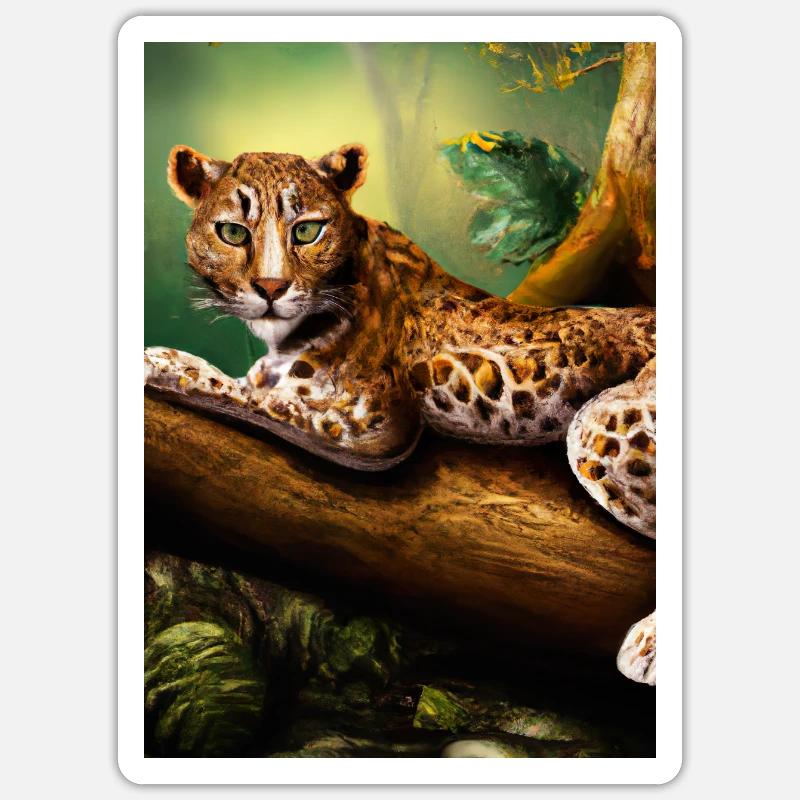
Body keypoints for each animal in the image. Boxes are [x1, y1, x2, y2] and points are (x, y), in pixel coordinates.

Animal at [144, 142, 657, 685]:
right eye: (233, 233)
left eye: (306, 230)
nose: (270, 287)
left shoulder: (371, 422)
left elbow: (250, 395)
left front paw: (162, 360)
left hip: (599, 424)